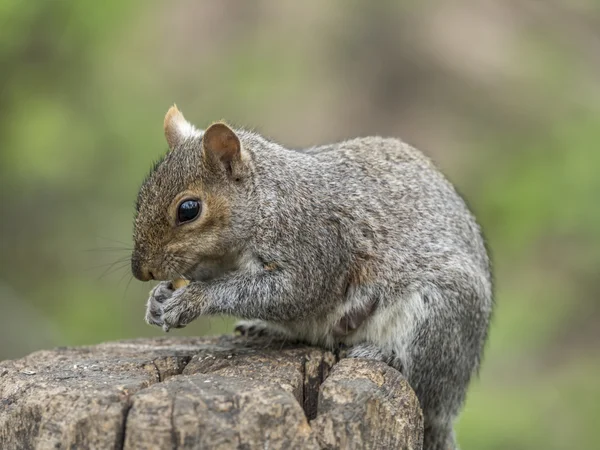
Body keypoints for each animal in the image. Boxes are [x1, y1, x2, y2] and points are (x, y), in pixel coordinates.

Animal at [131, 105, 492, 450]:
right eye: (141, 197)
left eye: (188, 209)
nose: (141, 270)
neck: (266, 202)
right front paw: (158, 299)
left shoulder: (315, 247)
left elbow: (291, 293)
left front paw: (193, 299)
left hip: (437, 316)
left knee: (418, 371)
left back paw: (381, 354)